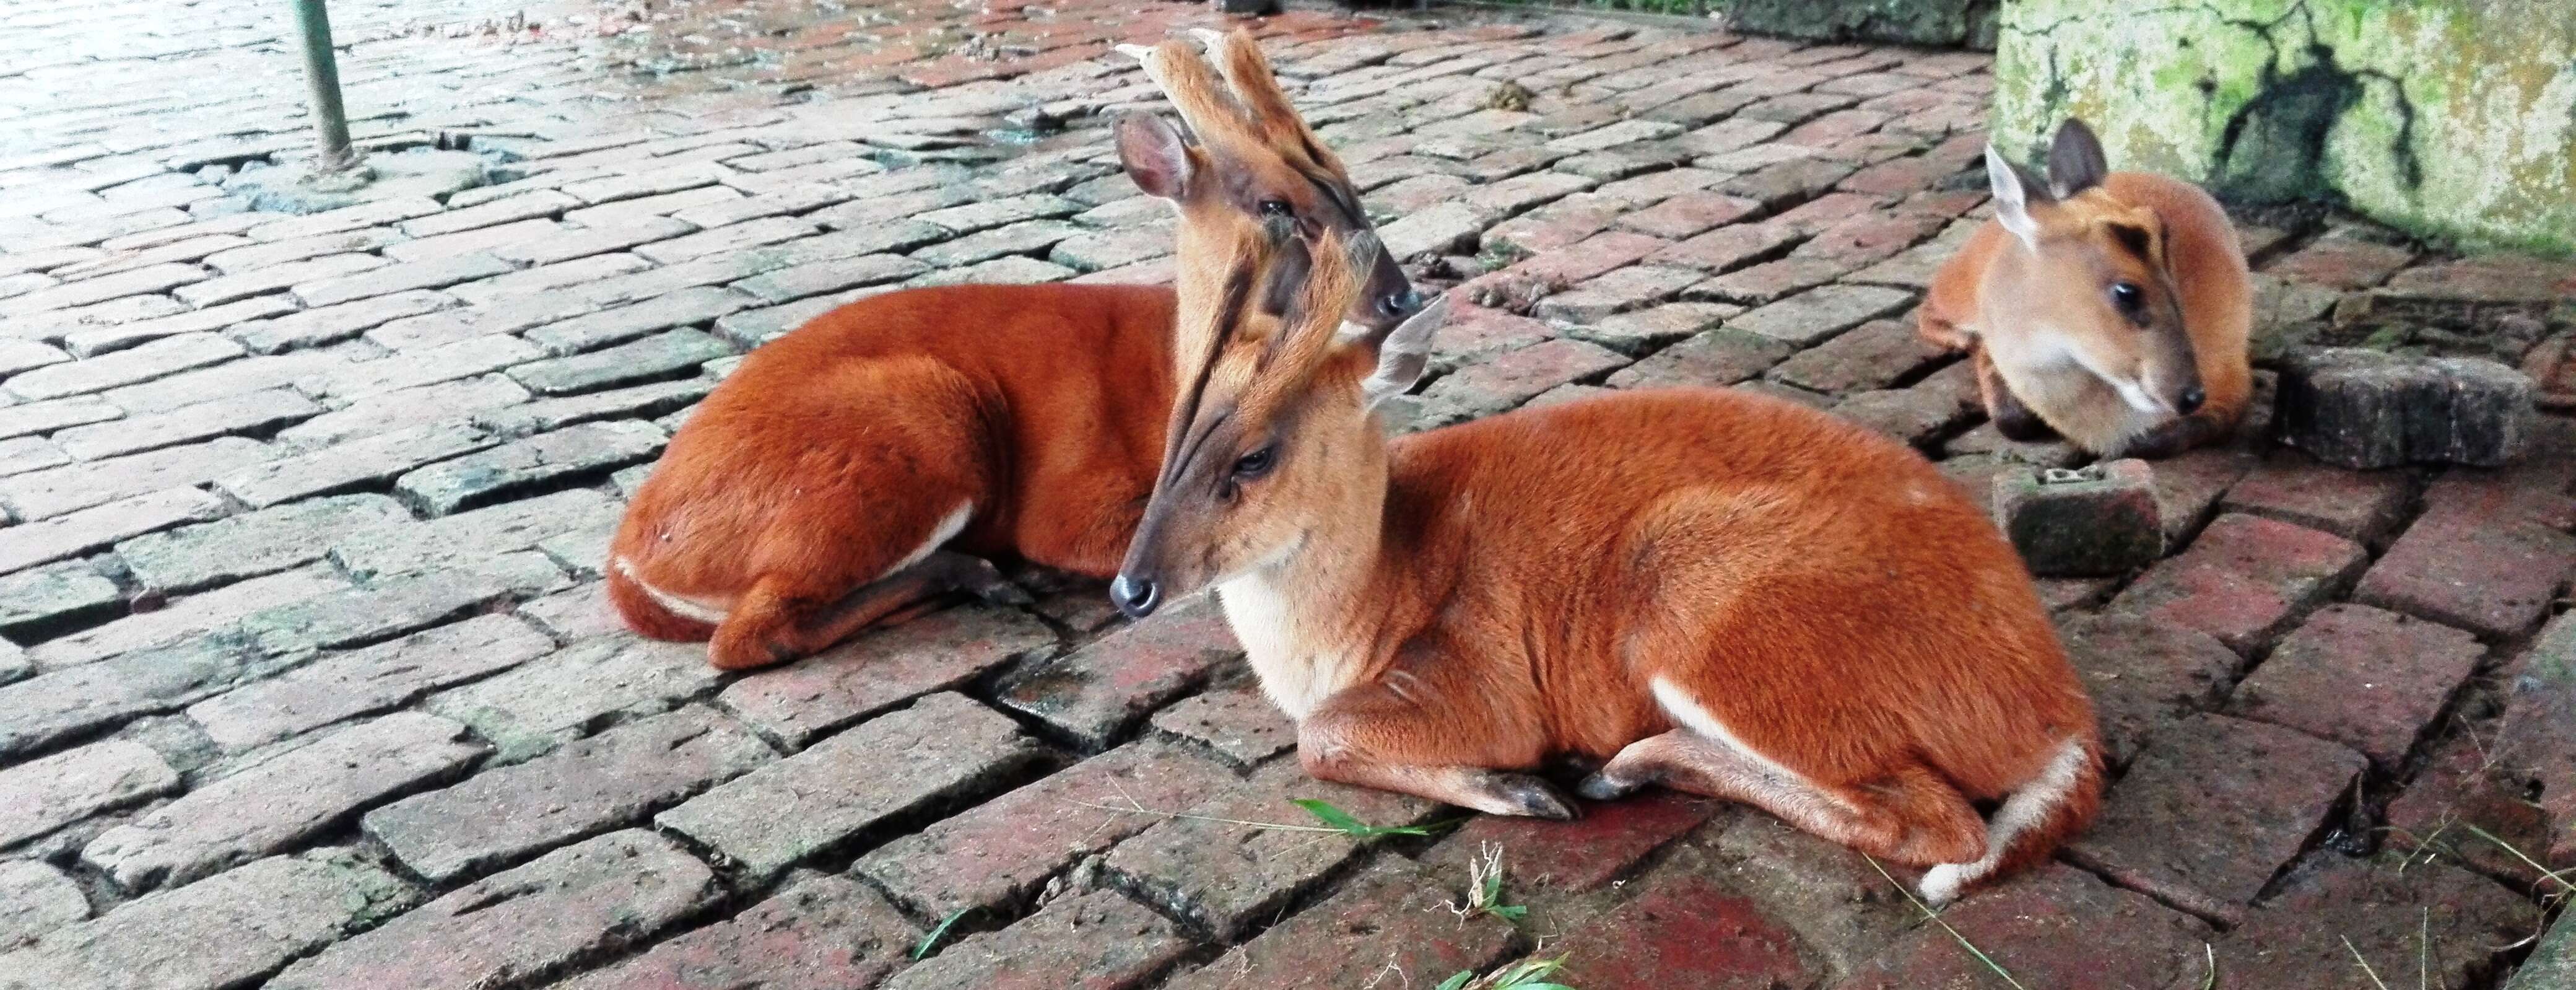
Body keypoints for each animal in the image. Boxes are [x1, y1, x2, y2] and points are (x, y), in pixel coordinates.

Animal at [605, 27, 1422, 670]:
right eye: (1274, 205)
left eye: (1351, 185)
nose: (1401, 299)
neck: (1166, 367)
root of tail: (630, 559)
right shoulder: (1068, 498)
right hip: (919, 424)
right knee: (750, 633)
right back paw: (974, 575)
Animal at [1118, 42, 2102, 902]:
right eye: (1170, 434)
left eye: (1256, 454)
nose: (1131, 587)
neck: (1367, 601)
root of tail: (2063, 715)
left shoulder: (1483, 681)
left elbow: (1320, 738)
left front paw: (1521, 786)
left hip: (1708, 602)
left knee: (1941, 824)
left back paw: (1618, 765)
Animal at [1917, 118, 2256, 458]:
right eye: (2126, 291)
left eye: (2162, 230)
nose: (2191, 395)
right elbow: (2011, 420)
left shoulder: (2233, 374)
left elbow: (2162, 439)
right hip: (1960, 283)